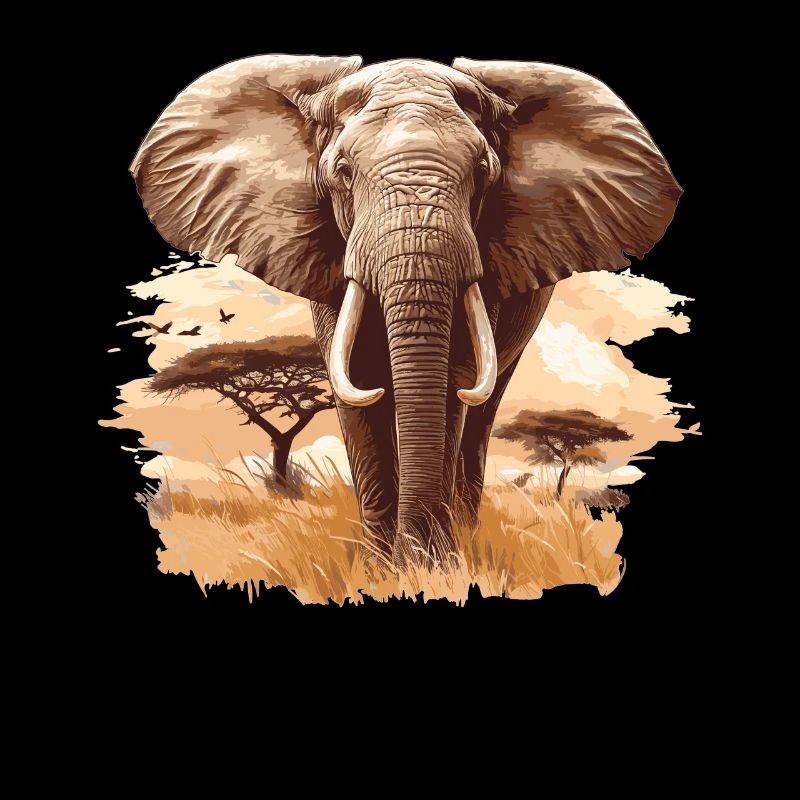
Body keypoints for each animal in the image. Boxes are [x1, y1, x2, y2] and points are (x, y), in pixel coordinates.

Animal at [131, 55, 681, 567]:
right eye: (342, 173)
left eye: (483, 174)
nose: (413, 555)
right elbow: (357, 377)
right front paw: (383, 568)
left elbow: (456, 376)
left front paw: (433, 566)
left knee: (485, 408)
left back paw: (464, 531)